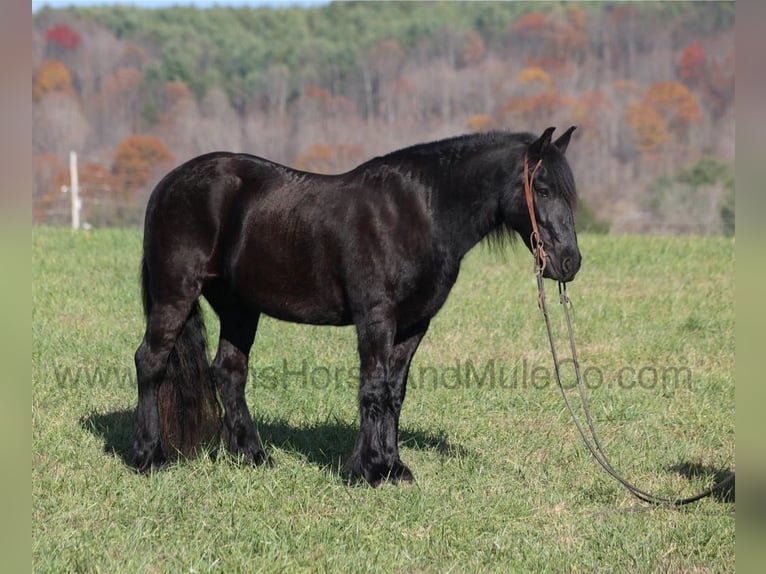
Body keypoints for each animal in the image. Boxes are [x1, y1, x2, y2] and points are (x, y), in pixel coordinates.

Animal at [132, 125, 584, 486]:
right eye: (543, 189)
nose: (569, 262)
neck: (418, 212)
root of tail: (167, 185)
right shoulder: (376, 318)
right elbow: (374, 388)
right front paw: (368, 470)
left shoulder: (413, 325)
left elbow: (395, 393)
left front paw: (393, 466)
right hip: (176, 294)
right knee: (150, 362)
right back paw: (148, 457)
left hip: (239, 308)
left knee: (229, 372)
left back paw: (253, 456)